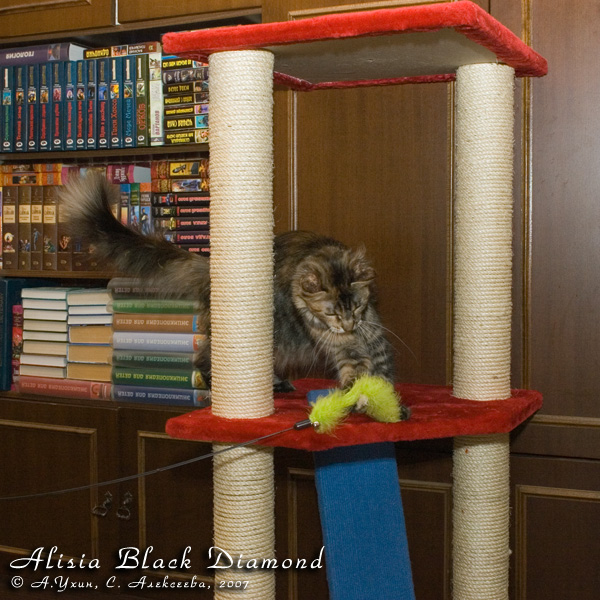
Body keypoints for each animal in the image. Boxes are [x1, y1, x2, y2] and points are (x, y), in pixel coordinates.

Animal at [60, 171, 399, 399]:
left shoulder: (373, 333)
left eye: (357, 305)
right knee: (202, 361)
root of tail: (211, 268)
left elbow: (382, 367)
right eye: (331, 313)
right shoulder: (340, 343)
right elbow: (355, 369)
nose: (349, 324)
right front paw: (360, 399)